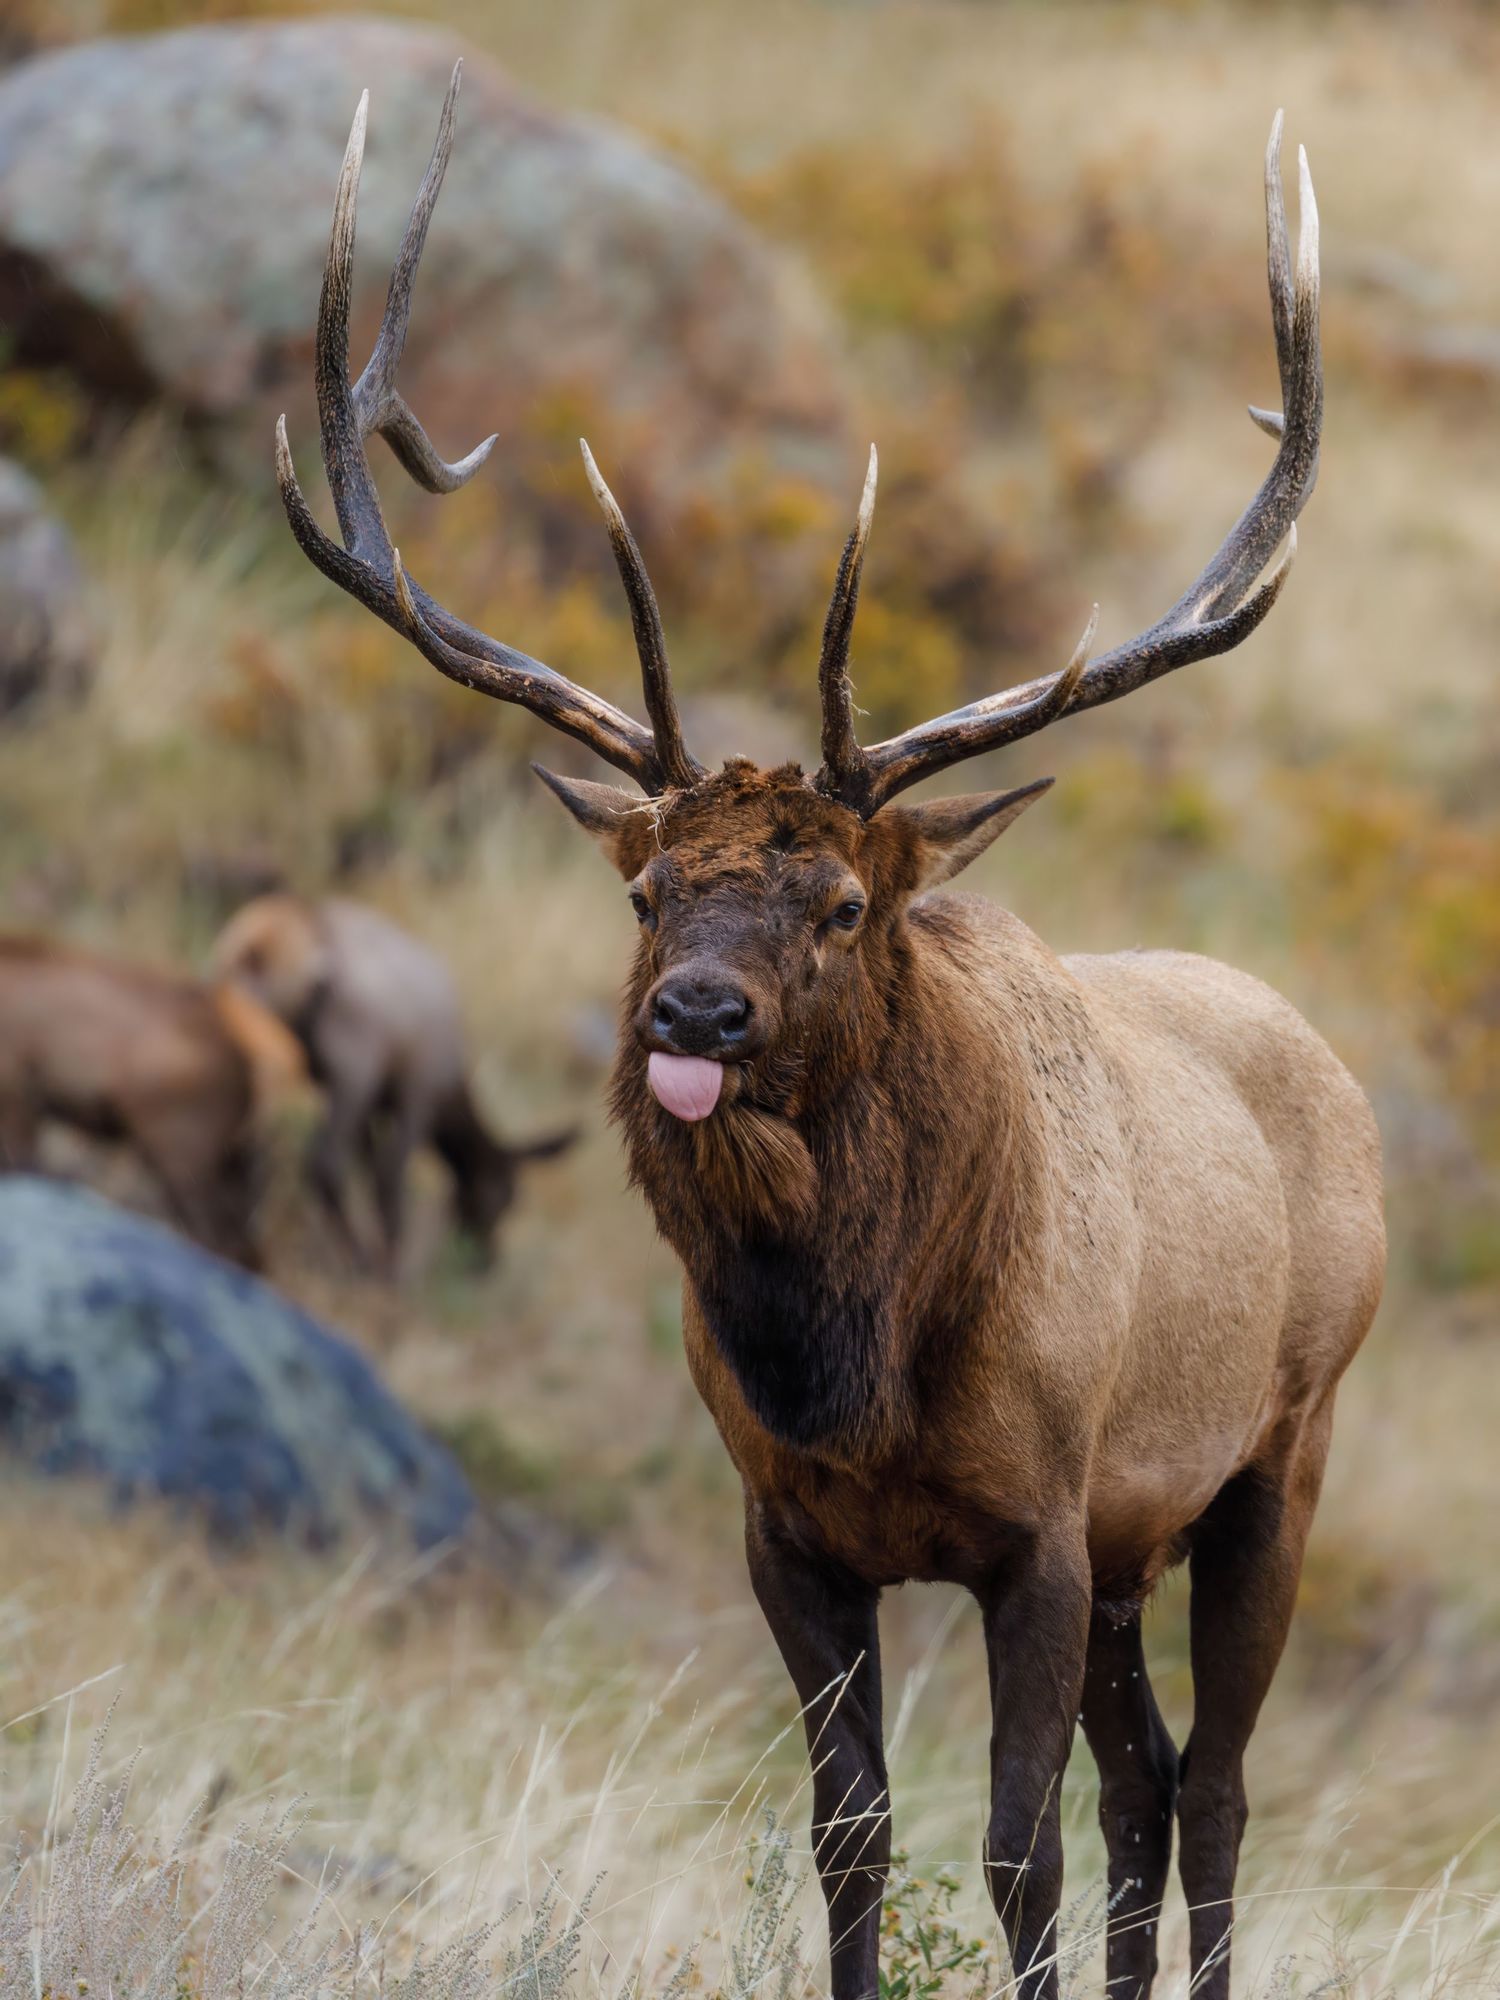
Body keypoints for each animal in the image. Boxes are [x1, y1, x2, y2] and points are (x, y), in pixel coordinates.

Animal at [211, 892, 575, 1277]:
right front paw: (391, 1262)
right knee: (322, 1162)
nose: (486, 1261)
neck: (453, 1092)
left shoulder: (371, 1105)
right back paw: (355, 1254)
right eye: (504, 1199)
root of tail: (257, 947)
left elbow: (371, 1168)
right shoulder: (415, 1097)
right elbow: (389, 1175)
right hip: (351, 1068)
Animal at [275, 68, 1385, 2000]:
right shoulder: (789, 1533)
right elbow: (854, 1838)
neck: (857, 1368)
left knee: (1221, 1791)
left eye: (847, 903)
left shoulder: (1038, 1521)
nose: (694, 1010)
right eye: (651, 892)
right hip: (1134, 1542)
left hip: (1277, 1450)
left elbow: (1009, 1847)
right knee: (1151, 1784)